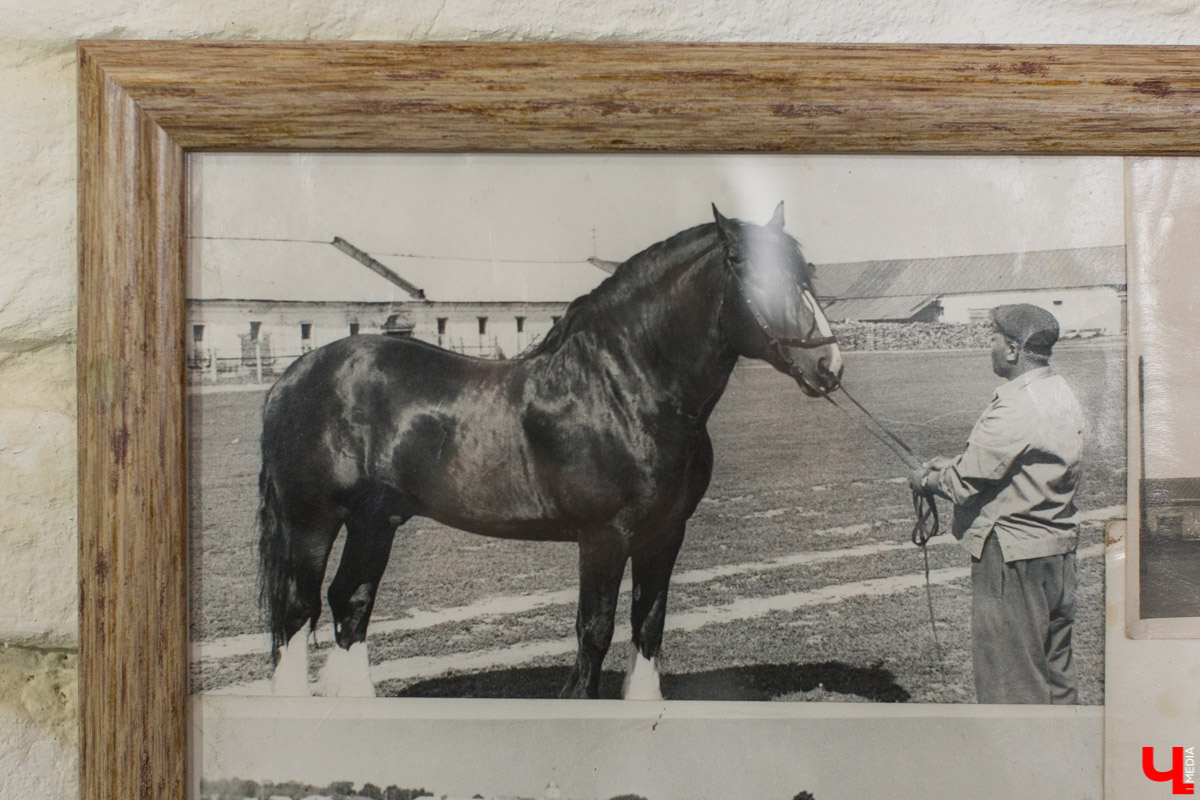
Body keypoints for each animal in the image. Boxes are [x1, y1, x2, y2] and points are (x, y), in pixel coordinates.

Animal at [258, 202, 843, 699]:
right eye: (760, 274)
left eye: (807, 274)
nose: (830, 366)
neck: (626, 388)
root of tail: (291, 378)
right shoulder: (604, 535)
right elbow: (595, 629)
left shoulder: (665, 532)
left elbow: (648, 623)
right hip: (312, 522)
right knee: (297, 611)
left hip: (374, 522)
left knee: (350, 602)